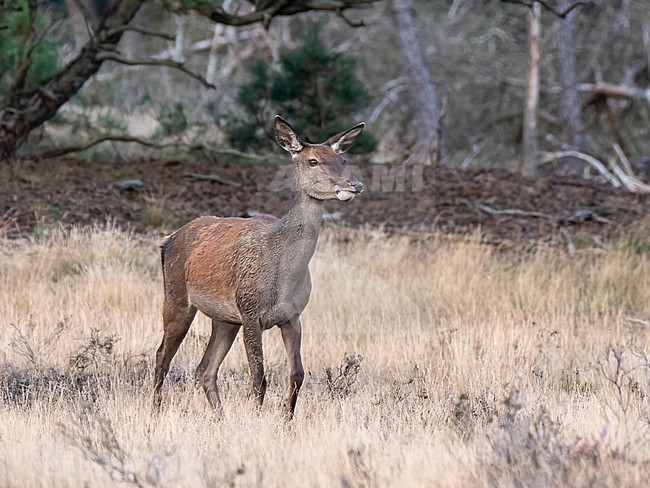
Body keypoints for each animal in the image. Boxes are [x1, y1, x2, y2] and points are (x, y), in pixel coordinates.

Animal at [153, 115, 365, 419]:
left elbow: (297, 375)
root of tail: (167, 240)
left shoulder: (293, 317)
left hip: (225, 318)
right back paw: (155, 411)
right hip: (177, 297)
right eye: (313, 160)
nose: (355, 184)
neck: (284, 278)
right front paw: (257, 419)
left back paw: (221, 419)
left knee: (205, 369)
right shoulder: (251, 312)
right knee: (162, 356)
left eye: (342, 158)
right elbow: (258, 377)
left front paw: (286, 421)